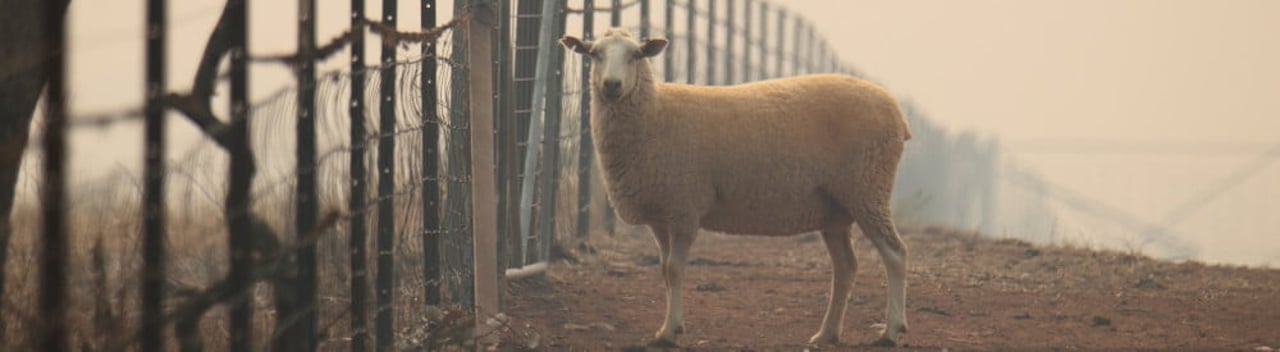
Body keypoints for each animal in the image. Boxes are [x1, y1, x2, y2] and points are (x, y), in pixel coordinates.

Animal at [560, 28, 911, 348]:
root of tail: (896, 113)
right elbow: (663, 270)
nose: (612, 85)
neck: (655, 113)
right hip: (835, 208)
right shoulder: (661, 214)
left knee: (895, 254)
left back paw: (891, 330)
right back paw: (827, 333)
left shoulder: (685, 208)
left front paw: (670, 332)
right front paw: (669, 326)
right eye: (595, 54)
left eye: (635, 55)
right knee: (845, 267)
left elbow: (674, 269)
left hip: (868, 188)